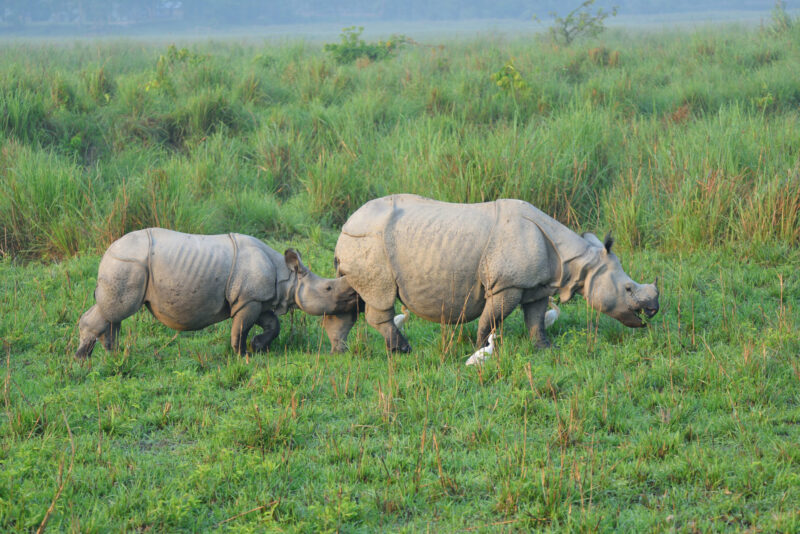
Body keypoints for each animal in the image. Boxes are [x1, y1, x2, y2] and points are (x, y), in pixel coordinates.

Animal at [75, 227, 356, 360]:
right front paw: (243, 355)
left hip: (126, 263)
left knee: (113, 314)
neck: (287, 277)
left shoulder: (257, 299)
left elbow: (272, 325)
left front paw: (258, 346)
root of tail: (108, 250)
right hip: (128, 263)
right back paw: (83, 358)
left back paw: (112, 354)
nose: (354, 298)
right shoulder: (248, 300)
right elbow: (240, 328)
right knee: (116, 310)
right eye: (328, 288)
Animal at [328, 195, 660, 354]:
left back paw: (346, 349)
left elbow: (536, 319)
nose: (654, 309)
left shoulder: (536, 285)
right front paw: (481, 347)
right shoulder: (507, 285)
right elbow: (492, 318)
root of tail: (346, 224)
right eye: (628, 289)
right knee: (380, 297)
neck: (578, 261)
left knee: (353, 296)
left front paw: (544, 348)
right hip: (369, 241)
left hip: (361, 242)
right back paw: (403, 350)